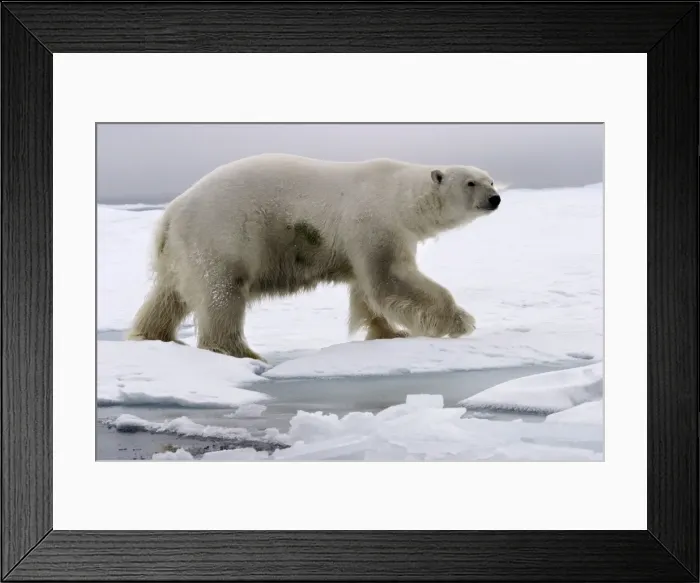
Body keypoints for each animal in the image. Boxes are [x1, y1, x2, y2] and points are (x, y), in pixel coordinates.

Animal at [127, 153, 502, 361]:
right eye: (471, 183)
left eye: (491, 179)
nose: (495, 199)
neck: (401, 197)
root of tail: (170, 213)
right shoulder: (374, 222)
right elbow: (390, 279)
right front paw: (460, 321)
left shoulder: (362, 240)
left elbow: (367, 291)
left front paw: (390, 332)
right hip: (222, 234)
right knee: (222, 292)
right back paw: (240, 351)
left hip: (181, 251)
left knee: (169, 295)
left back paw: (153, 334)